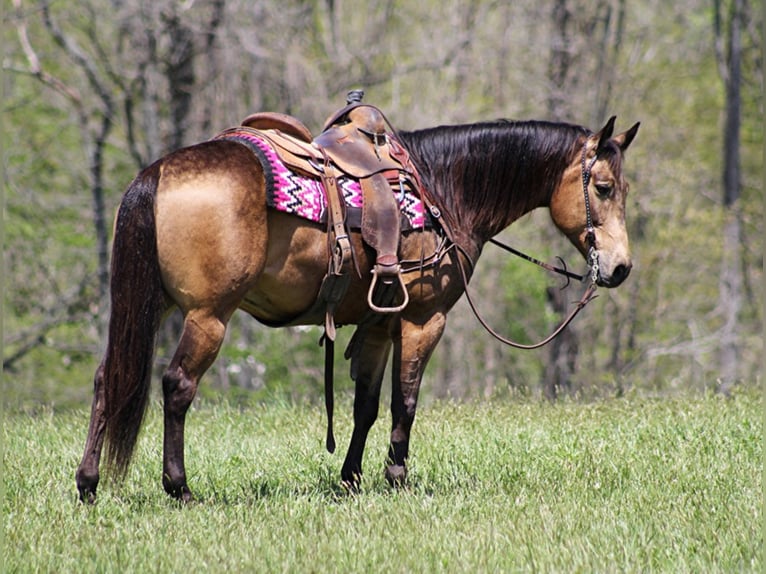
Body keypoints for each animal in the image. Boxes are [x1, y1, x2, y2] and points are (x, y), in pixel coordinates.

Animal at [76, 101, 640, 506]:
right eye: (603, 187)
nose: (619, 268)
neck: (442, 189)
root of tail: (159, 173)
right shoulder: (422, 320)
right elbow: (404, 400)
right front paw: (397, 476)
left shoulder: (378, 324)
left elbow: (364, 405)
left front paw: (350, 480)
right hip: (208, 316)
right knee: (177, 387)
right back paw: (179, 487)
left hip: (152, 307)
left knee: (110, 378)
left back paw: (87, 483)